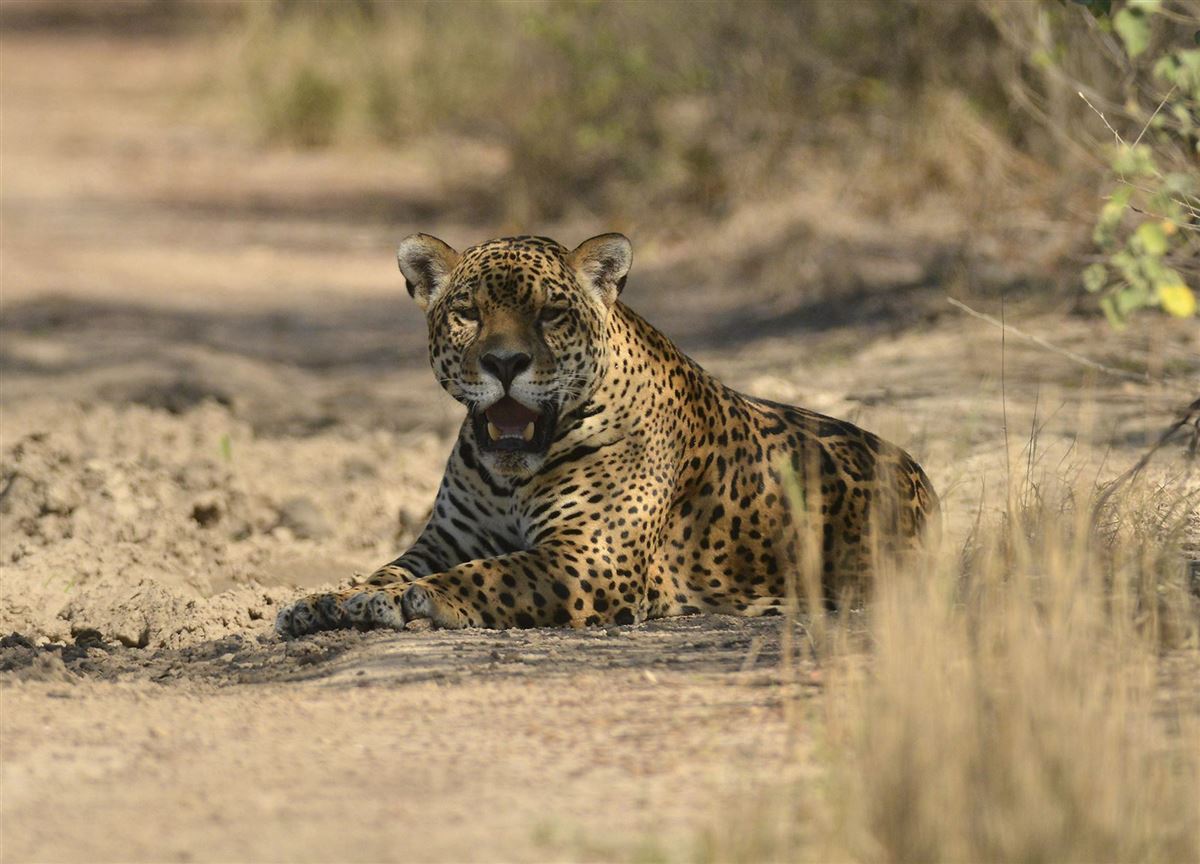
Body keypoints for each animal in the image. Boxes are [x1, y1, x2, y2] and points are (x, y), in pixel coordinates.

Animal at [275, 233, 939, 637]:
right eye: (467, 313)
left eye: (550, 314)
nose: (505, 363)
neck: (510, 478)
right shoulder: (442, 540)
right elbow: (385, 569)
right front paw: (326, 602)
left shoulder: (589, 558)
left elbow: (491, 573)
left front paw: (413, 600)